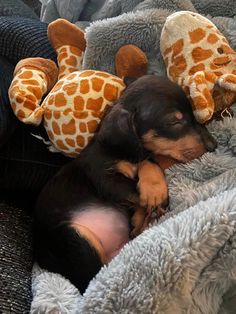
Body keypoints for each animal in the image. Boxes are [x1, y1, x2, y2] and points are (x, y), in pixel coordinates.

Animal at [34, 75, 217, 294]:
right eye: (174, 120)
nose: (213, 145)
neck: (117, 151)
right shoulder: (105, 178)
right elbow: (136, 182)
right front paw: (156, 195)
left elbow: (150, 159)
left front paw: (149, 196)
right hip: (75, 239)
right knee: (95, 276)